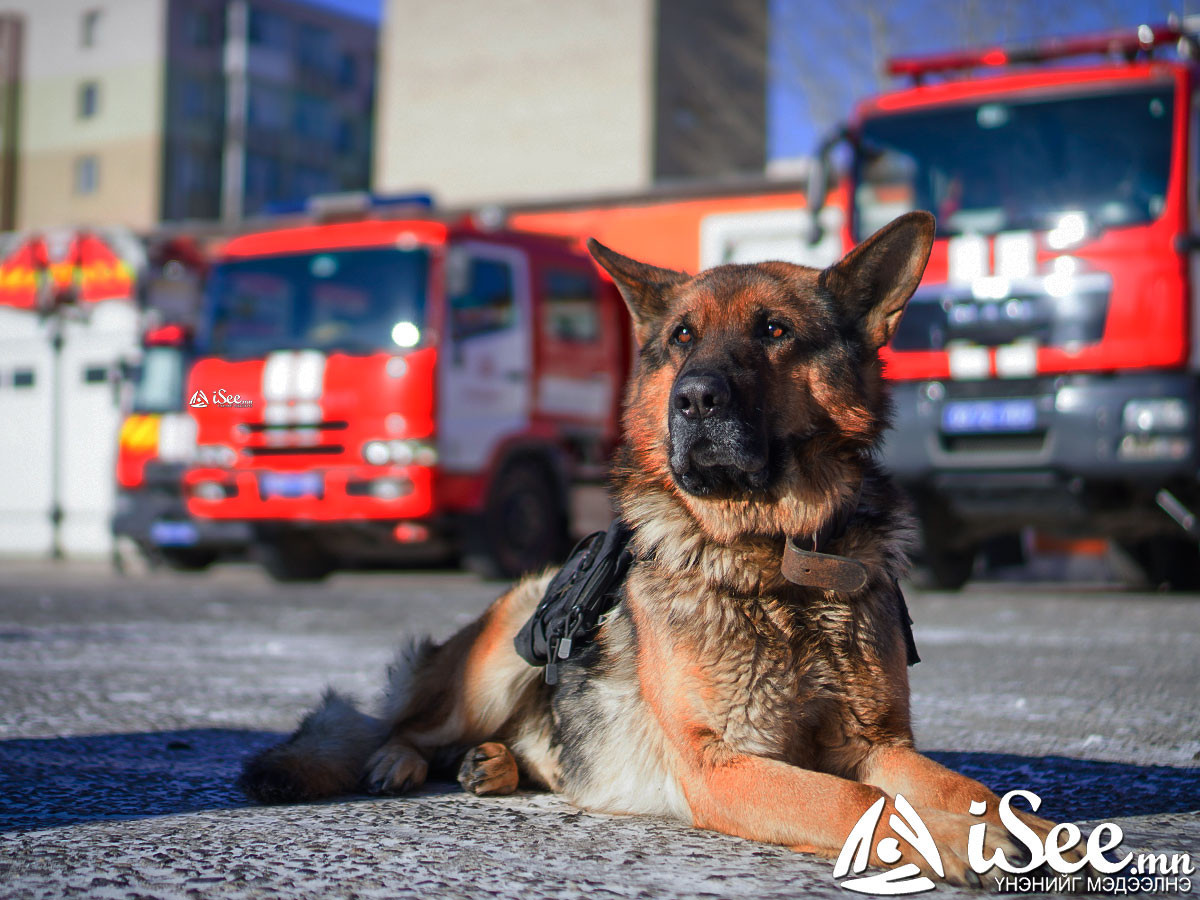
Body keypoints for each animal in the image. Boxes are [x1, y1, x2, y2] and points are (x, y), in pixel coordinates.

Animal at [238, 214, 1084, 892]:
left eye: (774, 331)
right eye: (682, 338)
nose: (695, 397)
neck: (776, 562)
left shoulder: (879, 744)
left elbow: (967, 785)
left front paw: (1037, 832)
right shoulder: (727, 764)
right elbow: (860, 801)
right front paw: (953, 841)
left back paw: (498, 763)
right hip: (500, 648)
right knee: (400, 725)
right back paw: (403, 760)